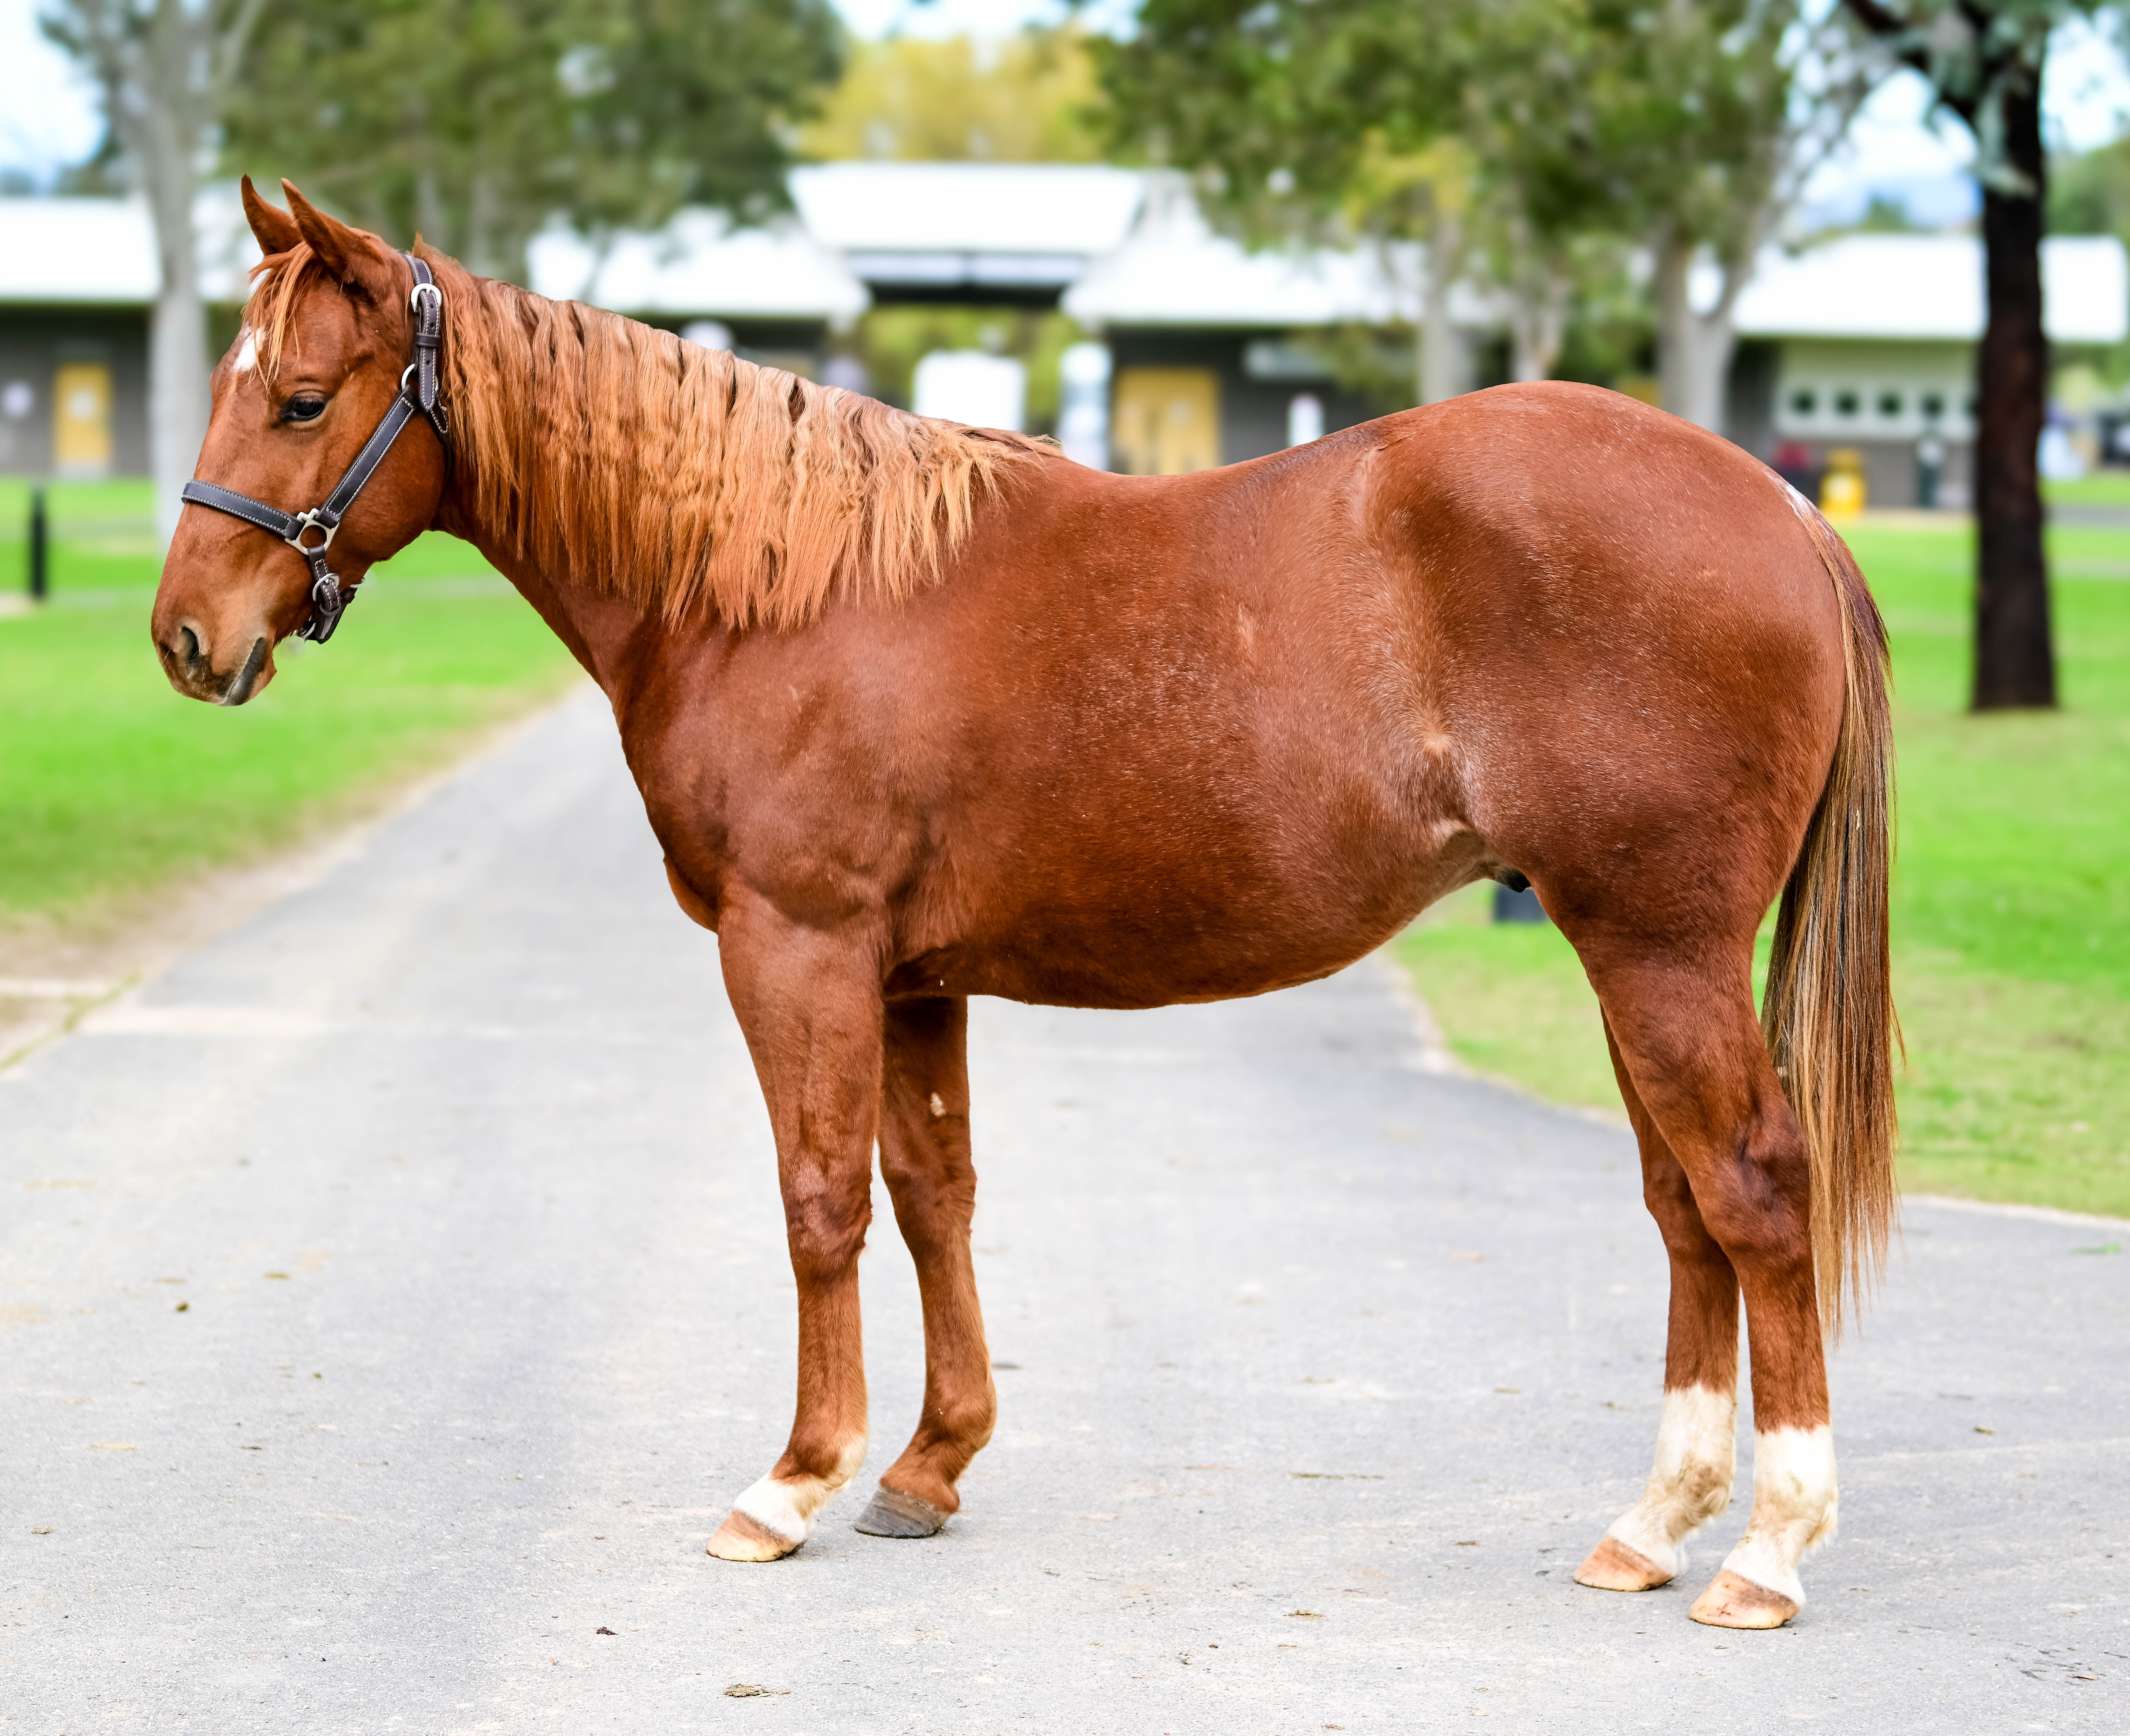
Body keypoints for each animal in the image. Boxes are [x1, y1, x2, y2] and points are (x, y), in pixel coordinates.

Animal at [151, 180, 1896, 1631]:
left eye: (302, 398)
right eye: (235, 384)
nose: (185, 637)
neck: (773, 583)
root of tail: (1785, 511)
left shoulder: (800, 948)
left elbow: (820, 1199)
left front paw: (793, 1480)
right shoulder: (915, 975)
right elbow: (935, 1192)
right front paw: (927, 1467)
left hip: (1658, 951)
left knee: (1751, 1189)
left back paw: (1764, 1550)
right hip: (1625, 954)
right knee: (1681, 1205)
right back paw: (1652, 1526)